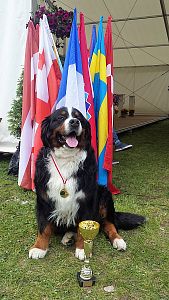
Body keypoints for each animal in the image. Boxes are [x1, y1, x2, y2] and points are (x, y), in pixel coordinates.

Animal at [29, 106, 145, 258]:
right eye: (60, 117)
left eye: (79, 117)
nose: (74, 122)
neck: (66, 160)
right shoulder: (44, 199)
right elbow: (43, 227)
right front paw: (39, 248)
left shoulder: (86, 200)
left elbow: (83, 229)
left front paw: (83, 249)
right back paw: (68, 236)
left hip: (104, 194)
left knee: (109, 224)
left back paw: (118, 240)